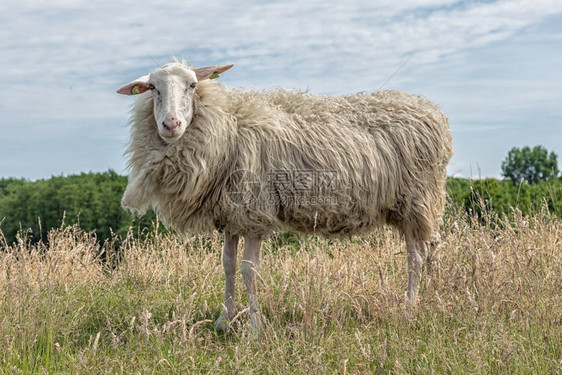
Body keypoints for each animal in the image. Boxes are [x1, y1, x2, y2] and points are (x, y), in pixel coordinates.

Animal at [117, 58, 450, 334]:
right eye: (153, 89)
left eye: (192, 85)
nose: (171, 124)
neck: (229, 124)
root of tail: (432, 110)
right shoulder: (231, 214)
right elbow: (228, 265)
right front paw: (225, 321)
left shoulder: (253, 211)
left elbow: (248, 270)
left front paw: (254, 327)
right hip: (410, 205)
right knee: (426, 249)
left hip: (417, 199)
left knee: (416, 257)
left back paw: (409, 307)